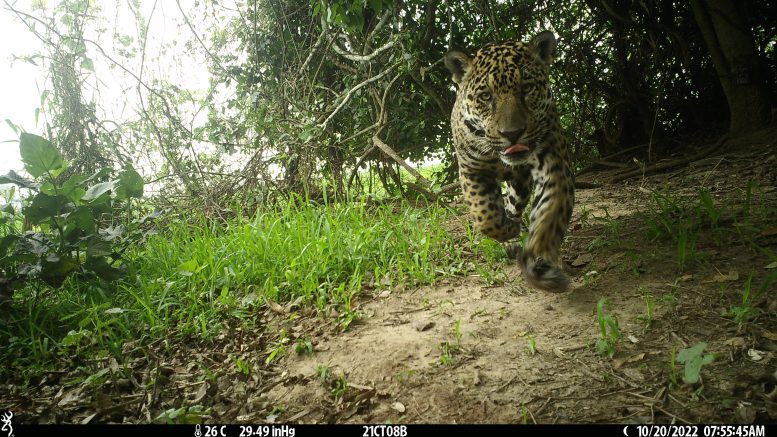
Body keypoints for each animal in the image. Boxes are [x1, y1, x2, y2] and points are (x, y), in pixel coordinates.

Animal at [444, 30, 575, 292]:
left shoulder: (554, 166)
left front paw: (539, 265)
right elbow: (486, 216)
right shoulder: (471, 170)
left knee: (514, 204)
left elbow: (549, 214)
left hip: (520, 183)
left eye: (527, 88)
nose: (512, 133)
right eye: (486, 96)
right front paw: (506, 232)